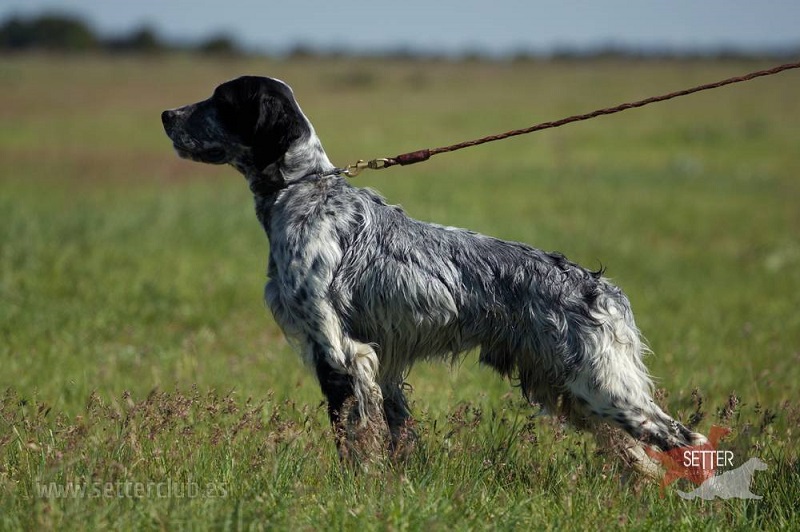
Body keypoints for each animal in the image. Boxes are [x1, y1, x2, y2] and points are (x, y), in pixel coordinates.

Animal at [161, 76, 708, 474]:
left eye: (220, 99)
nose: (166, 115)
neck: (302, 191)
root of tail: (601, 288)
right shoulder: (379, 363)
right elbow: (392, 430)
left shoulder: (339, 351)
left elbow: (352, 436)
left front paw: (357, 485)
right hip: (568, 388)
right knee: (638, 457)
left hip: (601, 387)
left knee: (682, 438)